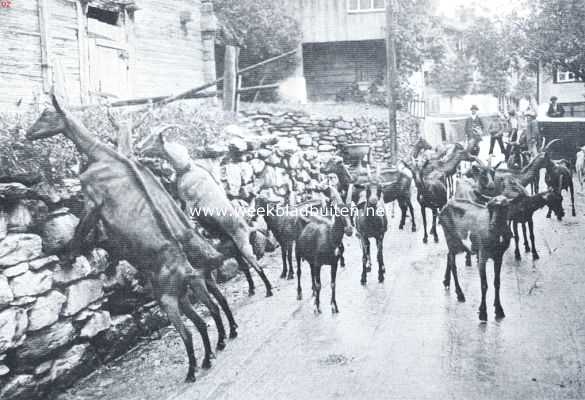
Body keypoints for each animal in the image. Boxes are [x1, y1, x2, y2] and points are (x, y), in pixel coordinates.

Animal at [296, 186, 352, 314]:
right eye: (338, 213)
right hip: (297, 251)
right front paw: (317, 307)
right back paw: (299, 293)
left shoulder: (334, 263)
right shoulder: (318, 263)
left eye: (352, 212)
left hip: (311, 259)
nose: (349, 230)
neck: (330, 237)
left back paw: (312, 292)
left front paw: (334, 306)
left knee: (311, 272)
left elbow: (333, 284)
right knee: (299, 272)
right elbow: (319, 285)